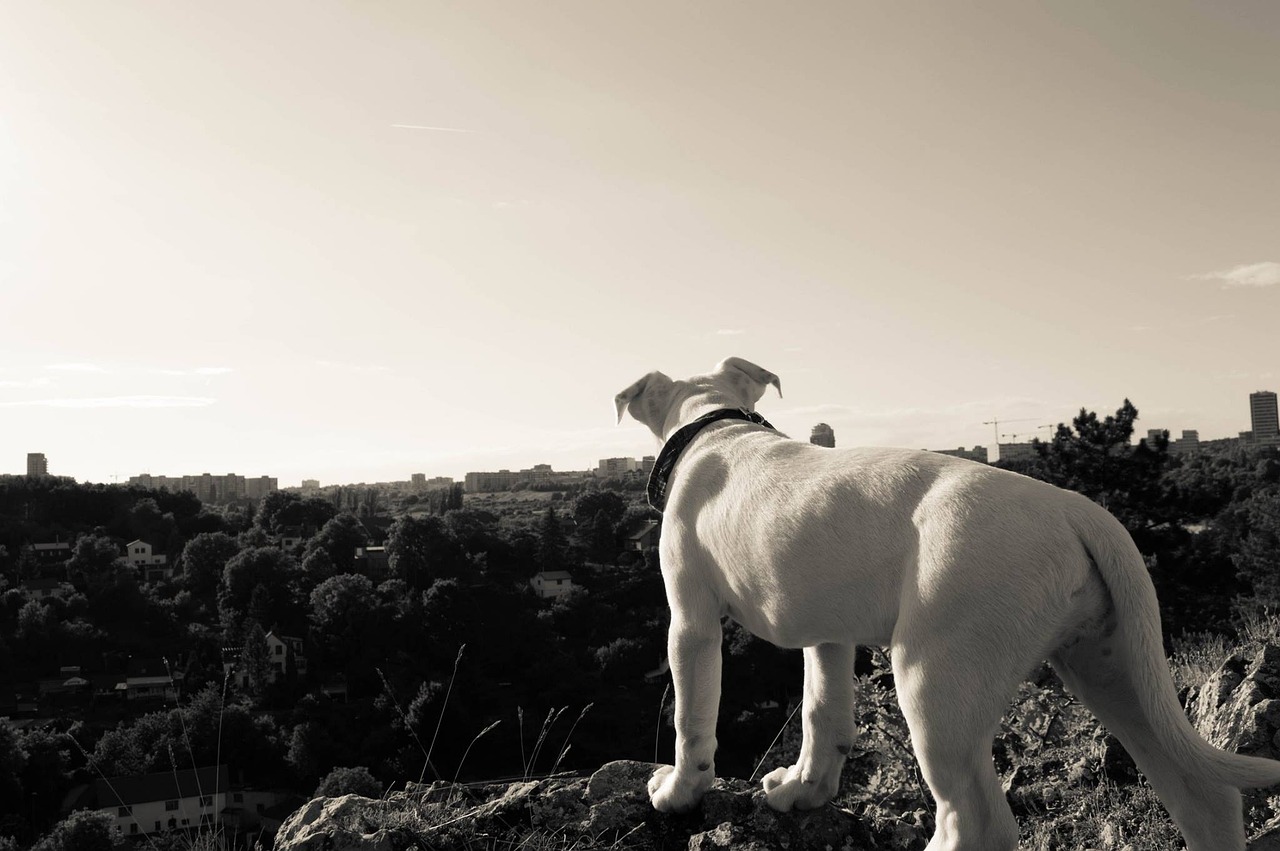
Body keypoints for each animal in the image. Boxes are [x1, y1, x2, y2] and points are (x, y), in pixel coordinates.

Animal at [614, 355, 1280, 849]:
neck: (715, 427)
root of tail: (1076, 510)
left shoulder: (691, 622)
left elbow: (691, 717)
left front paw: (678, 792)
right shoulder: (828, 634)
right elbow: (823, 713)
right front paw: (805, 790)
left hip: (936, 682)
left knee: (976, 823)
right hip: (1112, 668)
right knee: (1203, 796)